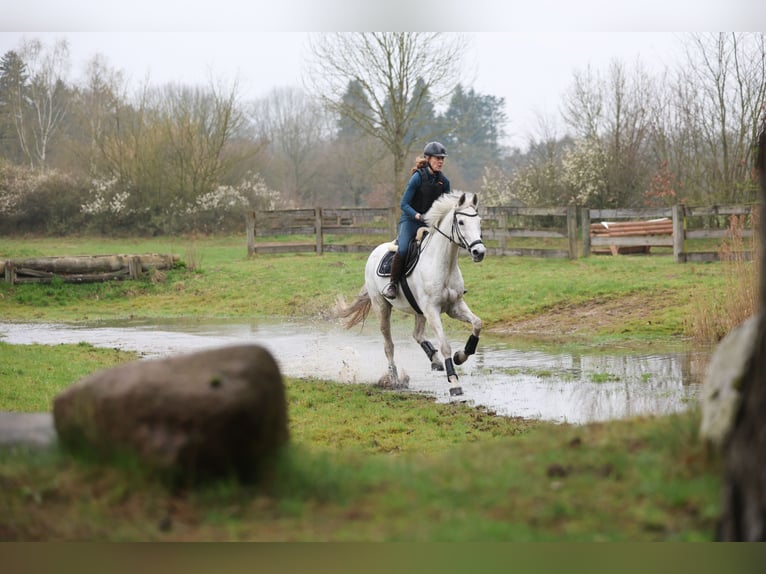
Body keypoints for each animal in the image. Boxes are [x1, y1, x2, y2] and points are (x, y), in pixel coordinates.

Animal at [336, 191, 486, 398]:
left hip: (418, 311)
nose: (479, 252)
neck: (443, 264)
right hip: (382, 307)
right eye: (461, 222)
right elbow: (445, 345)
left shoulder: (454, 307)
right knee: (389, 345)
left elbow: (477, 324)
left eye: (479, 221)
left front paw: (460, 356)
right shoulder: (432, 310)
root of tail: (374, 253)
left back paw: (434, 360)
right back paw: (394, 379)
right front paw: (454, 382)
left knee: (417, 334)